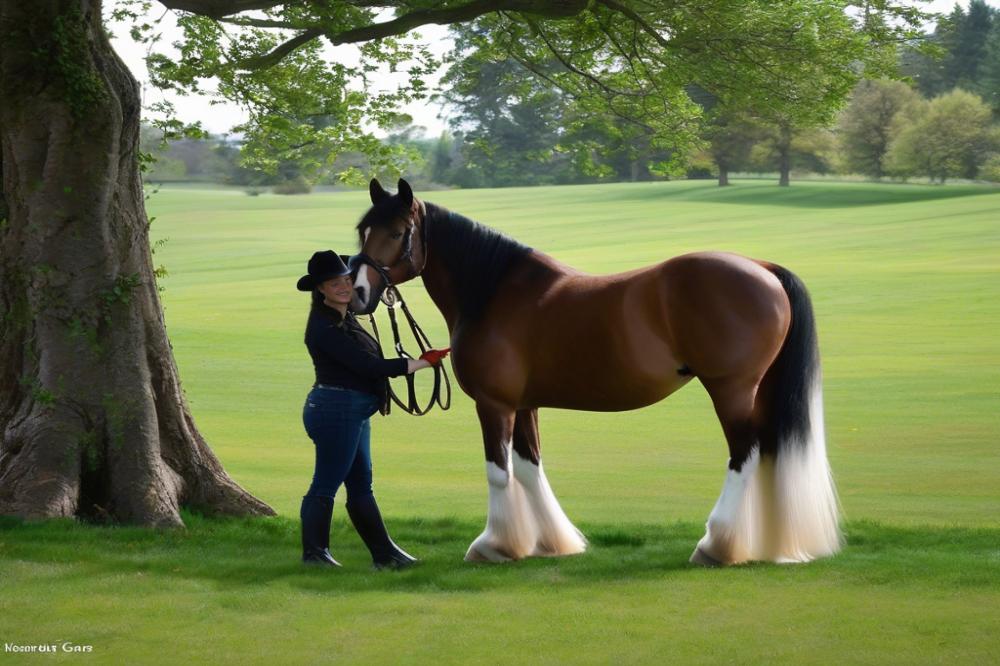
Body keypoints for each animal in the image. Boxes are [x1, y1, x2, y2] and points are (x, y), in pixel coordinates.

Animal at [348, 178, 840, 564]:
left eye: (397, 232)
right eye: (362, 232)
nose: (357, 294)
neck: (494, 291)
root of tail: (762, 268)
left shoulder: (495, 405)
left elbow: (499, 471)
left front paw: (495, 546)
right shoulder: (524, 406)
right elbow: (530, 468)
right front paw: (551, 543)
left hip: (731, 390)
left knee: (745, 453)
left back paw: (716, 546)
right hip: (760, 389)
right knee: (770, 449)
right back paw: (768, 547)